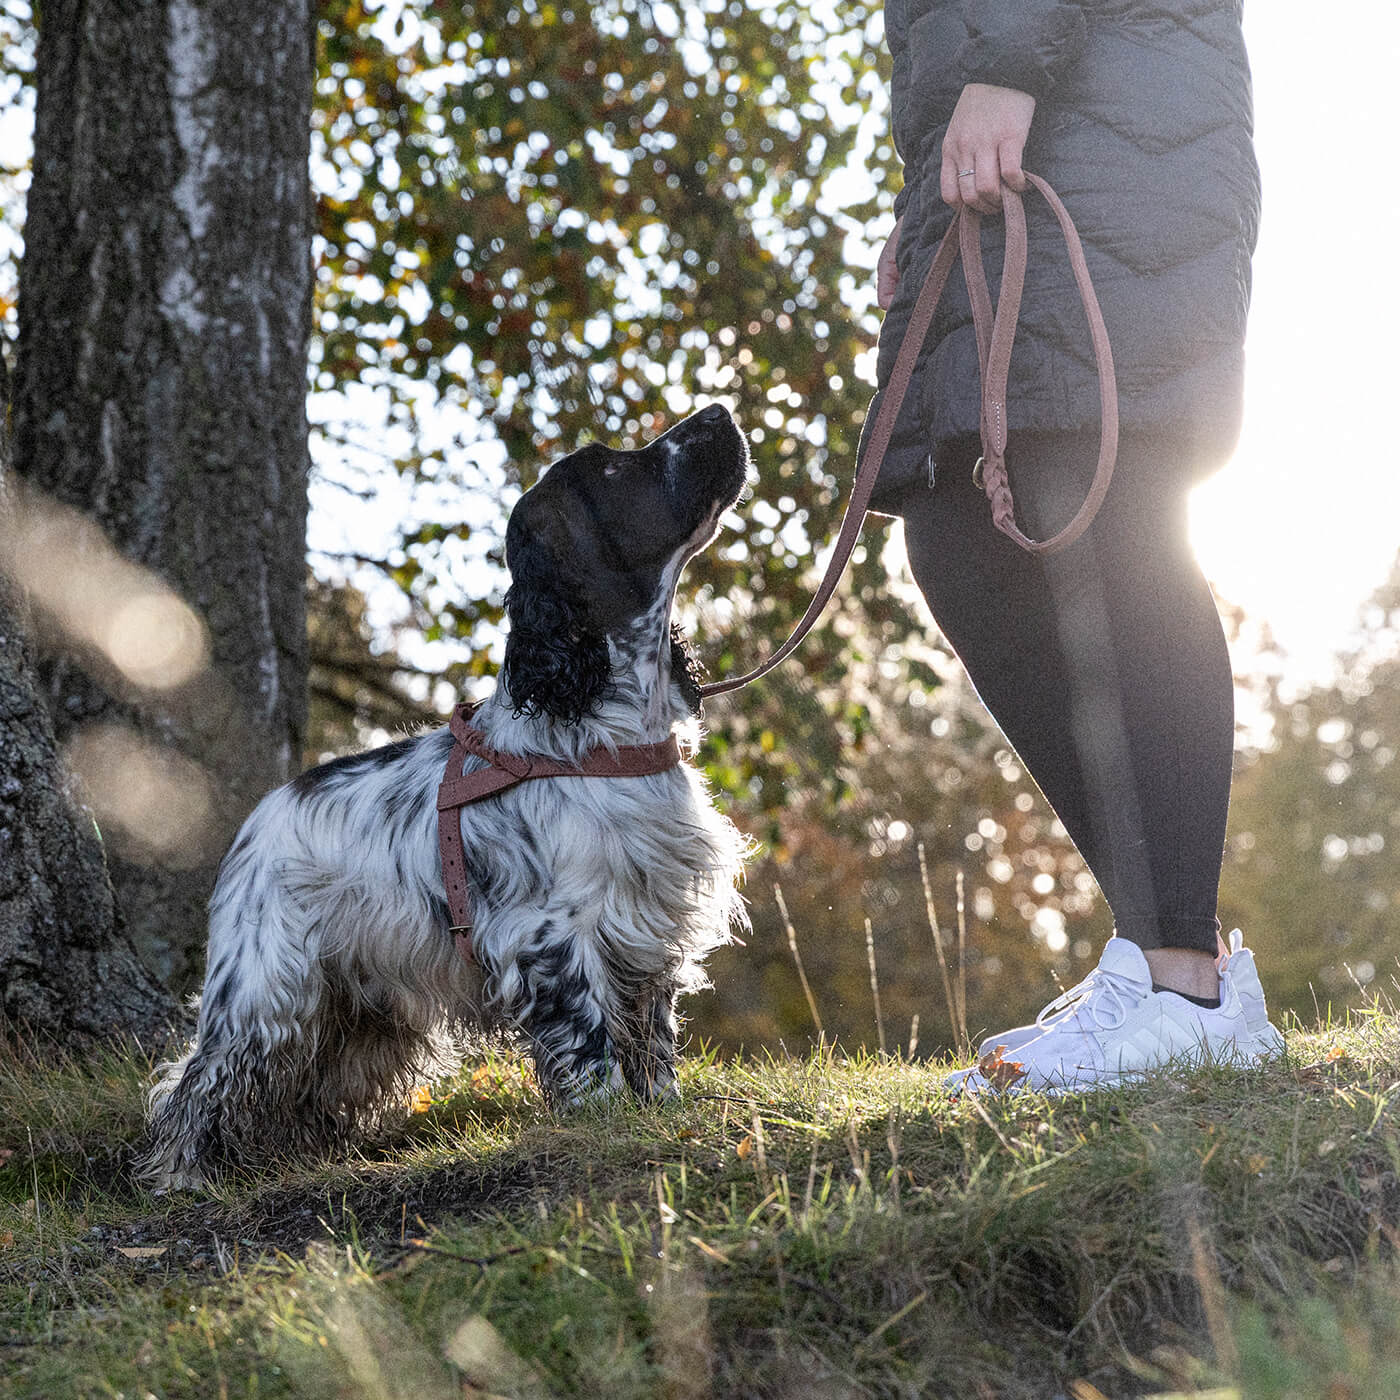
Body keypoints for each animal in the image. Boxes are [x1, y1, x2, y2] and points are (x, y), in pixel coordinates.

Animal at [139, 408, 756, 1192]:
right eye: (614, 467)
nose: (720, 414)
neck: (603, 724)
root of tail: (260, 814)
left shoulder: (646, 927)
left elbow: (653, 1043)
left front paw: (660, 1114)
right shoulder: (552, 938)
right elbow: (591, 1049)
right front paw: (605, 1124)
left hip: (365, 1009)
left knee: (310, 1088)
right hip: (265, 990)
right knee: (202, 1083)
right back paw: (182, 1177)